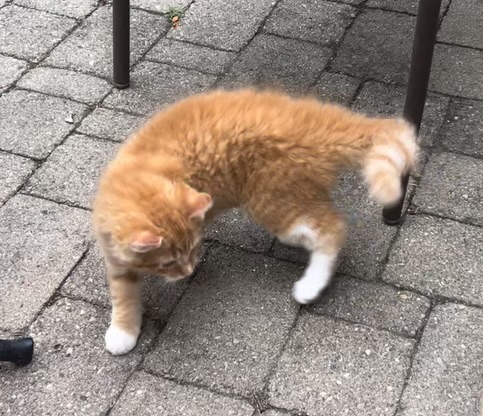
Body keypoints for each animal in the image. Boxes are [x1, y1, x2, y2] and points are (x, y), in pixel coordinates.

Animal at [92, 88, 418, 355]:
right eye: (170, 262)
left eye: (189, 252)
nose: (188, 271)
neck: (141, 175)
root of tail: (311, 119)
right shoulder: (117, 258)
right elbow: (123, 296)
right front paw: (123, 329)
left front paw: (122, 333)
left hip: (276, 207)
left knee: (332, 230)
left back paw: (311, 284)